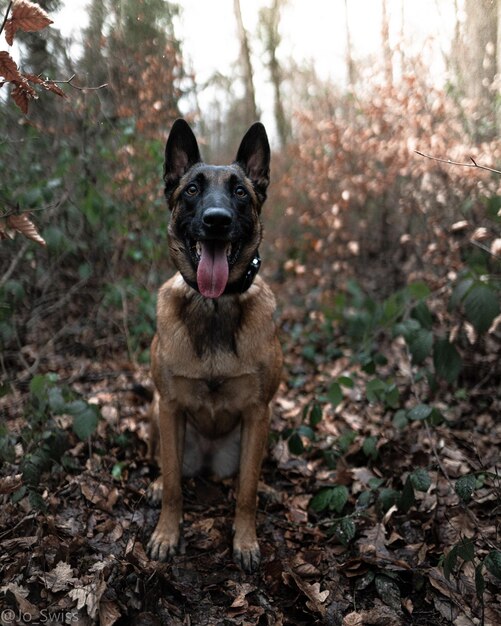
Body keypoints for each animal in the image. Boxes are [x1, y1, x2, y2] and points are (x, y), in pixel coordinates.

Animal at [146, 118, 284, 572]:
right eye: (192, 189)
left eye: (240, 191)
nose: (217, 220)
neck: (214, 304)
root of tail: (207, 461)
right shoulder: (170, 407)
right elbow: (174, 485)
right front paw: (166, 534)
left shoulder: (258, 411)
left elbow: (246, 492)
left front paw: (245, 541)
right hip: (157, 418)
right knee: (170, 469)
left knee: (248, 477)